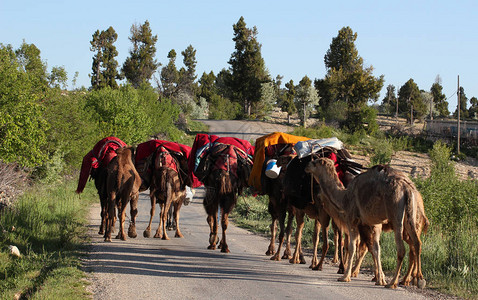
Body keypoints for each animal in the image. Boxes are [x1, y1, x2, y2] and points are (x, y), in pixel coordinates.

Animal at [304, 158, 428, 290]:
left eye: (316, 162)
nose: (307, 166)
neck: (344, 197)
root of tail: (407, 189)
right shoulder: (372, 224)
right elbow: (376, 249)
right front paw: (379, 279)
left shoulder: (352, 220)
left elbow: (353, 247)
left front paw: (345, 277)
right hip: (410, 216)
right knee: (417, 243)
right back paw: (418, 279)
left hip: (396, 214)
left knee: (402, 249)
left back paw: (393, 282)